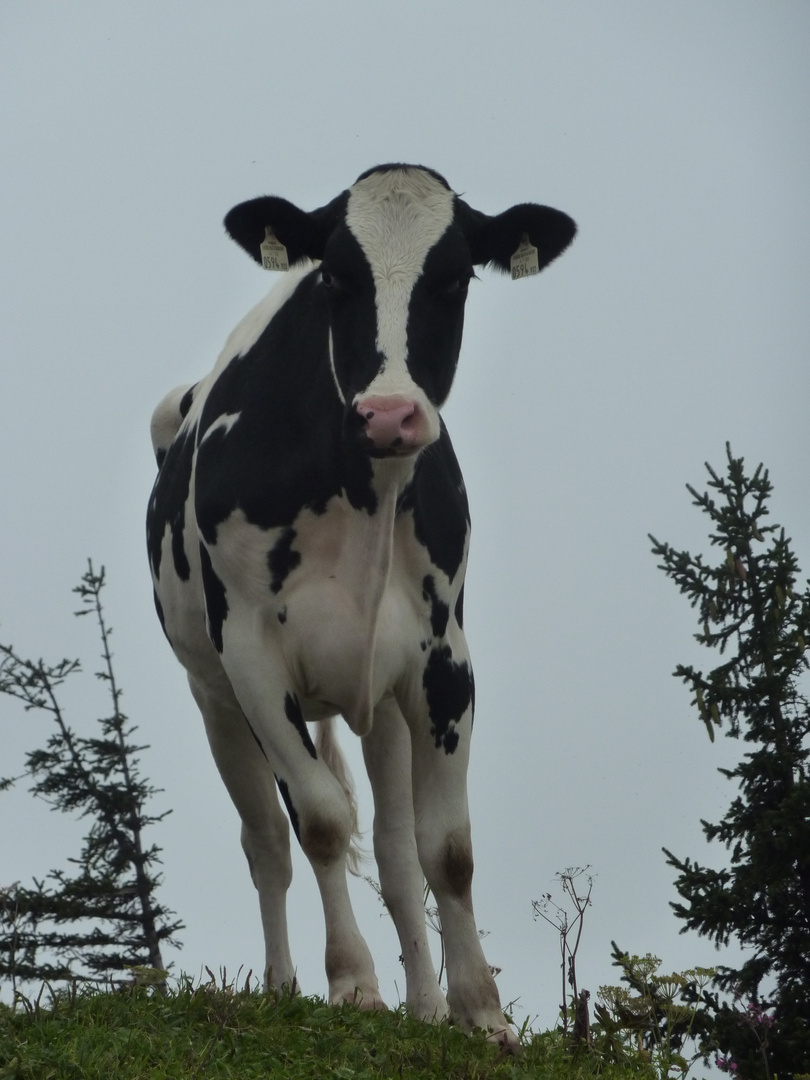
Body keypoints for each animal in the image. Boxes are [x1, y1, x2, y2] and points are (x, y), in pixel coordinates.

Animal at [147, 164, 578, 1049]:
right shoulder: (252, 660)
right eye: (336, 276)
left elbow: (443, 849)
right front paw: (352, 984)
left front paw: (476, 1012)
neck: (365, 495)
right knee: (268, 844)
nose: (388, 415)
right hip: (215, 698)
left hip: (378, 702)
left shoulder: (444, 661)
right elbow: (317, 822)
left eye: (455, 278)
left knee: (394, 848)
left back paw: (424, 1004)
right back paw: (281, 985)